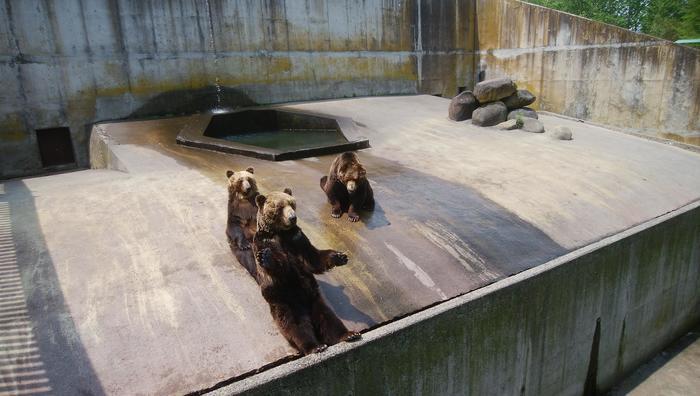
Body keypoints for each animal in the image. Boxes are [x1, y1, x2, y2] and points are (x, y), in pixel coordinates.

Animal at [253, 189, 360, 356]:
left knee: (328, 318)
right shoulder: (265, 242)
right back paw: (314, 346)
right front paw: (266, 257)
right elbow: (279, 267)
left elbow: (313, 258)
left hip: (314, 298)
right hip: (285, 302)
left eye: (292, 204)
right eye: (279, 206)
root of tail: (304, 306)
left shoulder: (298, 240)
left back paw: (348, 334)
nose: (292, 217)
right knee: (295, 326)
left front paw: (340, 256)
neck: (280, 233)